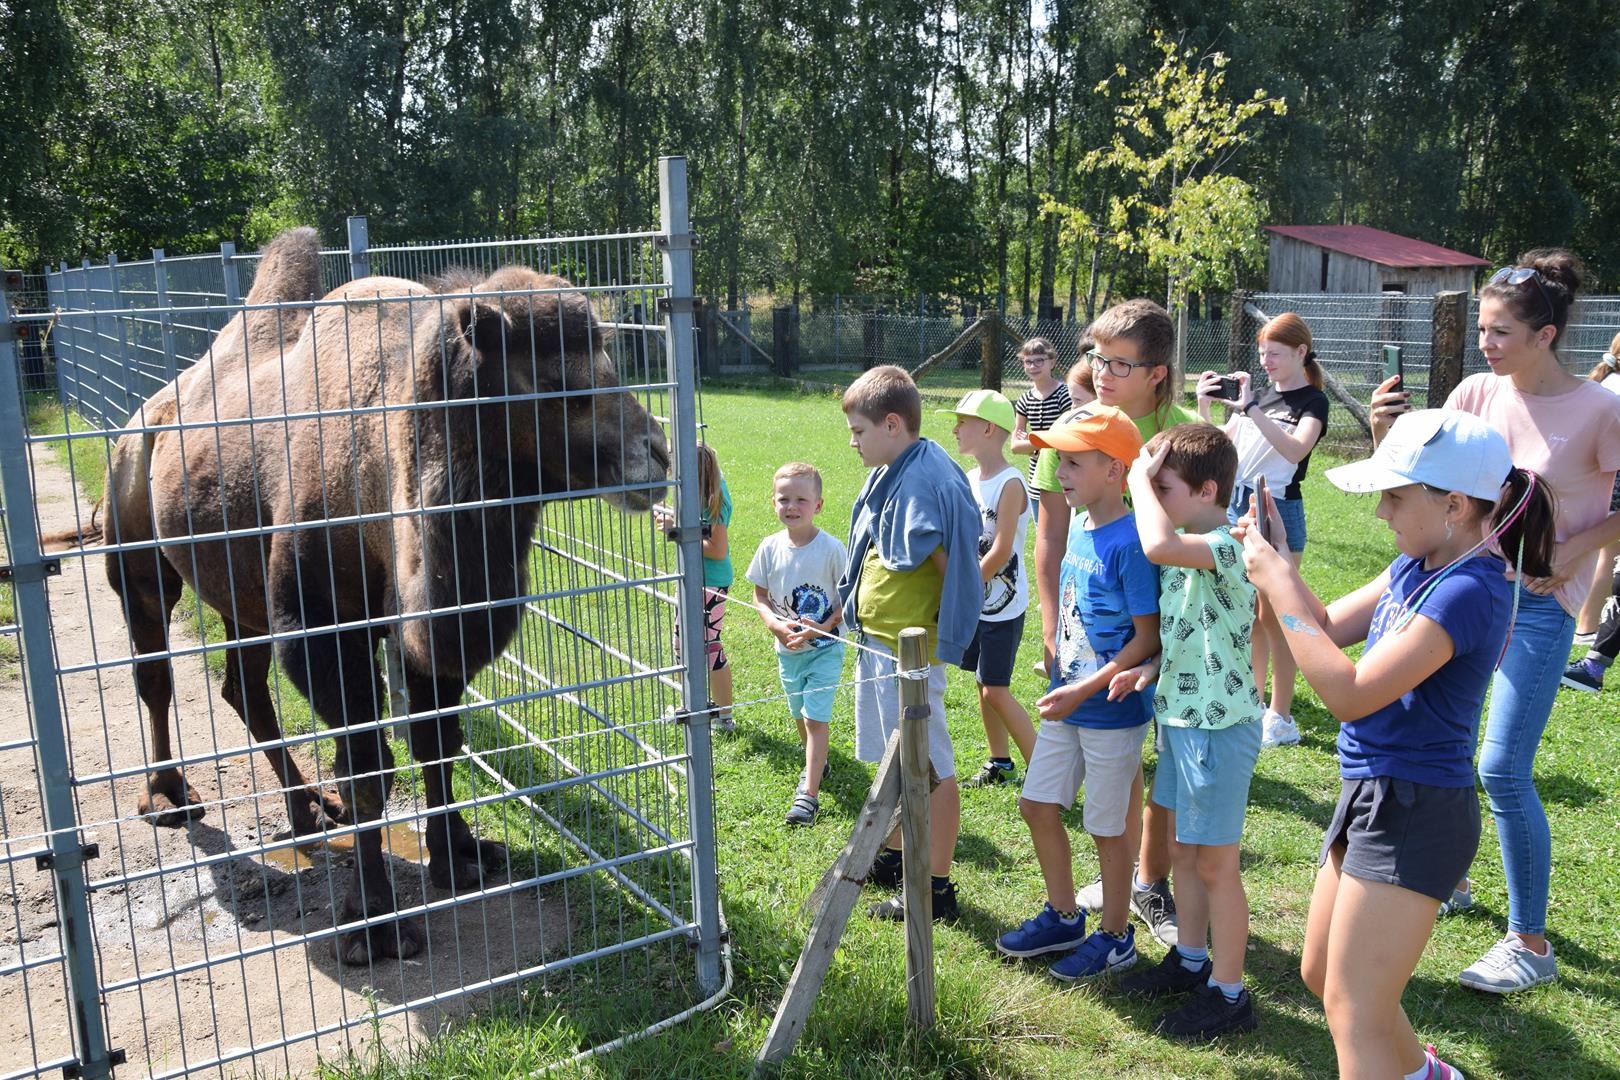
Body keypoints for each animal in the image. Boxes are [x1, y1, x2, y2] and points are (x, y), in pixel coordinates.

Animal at [61, 226, 670, 965]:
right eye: (558, 385)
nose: (657, 453)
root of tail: (142, 419)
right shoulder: (323, 626)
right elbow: (369, 768)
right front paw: (375, 923)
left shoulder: (421, 621)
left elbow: (438, 739)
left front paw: (459, 857)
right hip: (138, 553)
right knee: (154, 669)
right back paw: (170, 795)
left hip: (243, 596)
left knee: (243, 686)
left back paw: (307, 808)